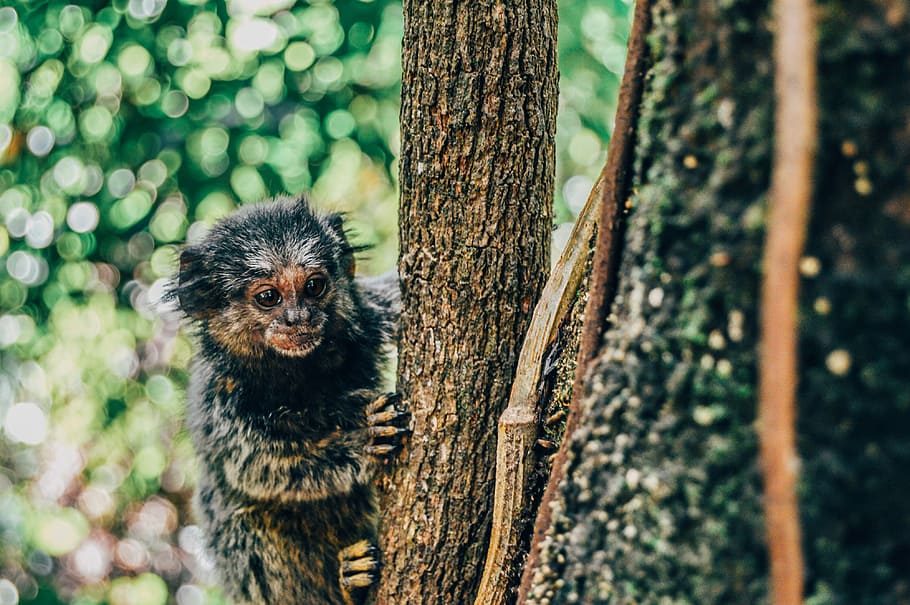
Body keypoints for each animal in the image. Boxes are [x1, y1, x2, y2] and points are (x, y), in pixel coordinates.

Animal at [168, 195, 408, 605]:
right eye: (269, 297)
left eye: (314, 286)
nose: (299, 318)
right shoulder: (222, 396)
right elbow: (259, 465)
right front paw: (365, 439)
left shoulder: (371, 312)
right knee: (243, 524)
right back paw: (350, 585)